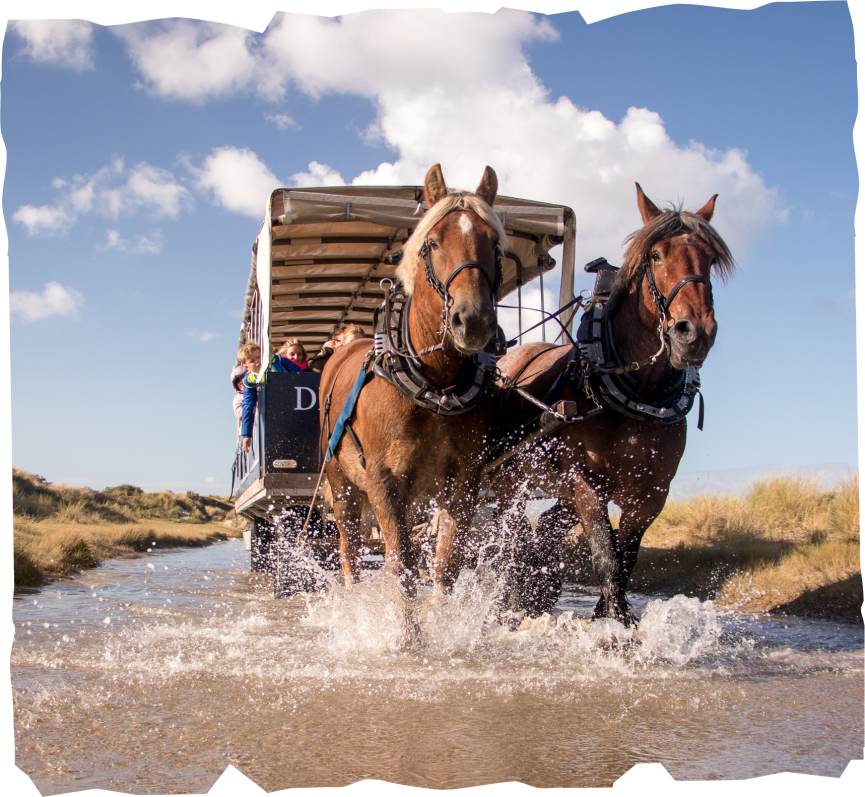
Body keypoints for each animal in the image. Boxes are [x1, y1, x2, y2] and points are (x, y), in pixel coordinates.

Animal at [319, 163, 505, 602]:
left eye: (493, 243)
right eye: (433, 242)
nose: (473, 320)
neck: (433, 387)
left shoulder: (463, 483)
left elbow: (444, 567)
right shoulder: (384, 482)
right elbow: (400, 567)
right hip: (343, 484)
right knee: (349, 552)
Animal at [486, 183, 735, 624]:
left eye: (709, 257)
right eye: (656, 255)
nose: (694, 333)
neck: (636, 392)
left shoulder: (651, 494)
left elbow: (627, 557)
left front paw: (609, 613)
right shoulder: (588, 484)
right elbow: (606, 556)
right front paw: (617, 621)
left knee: (544, 531)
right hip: (508, 482)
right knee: (508, 538)